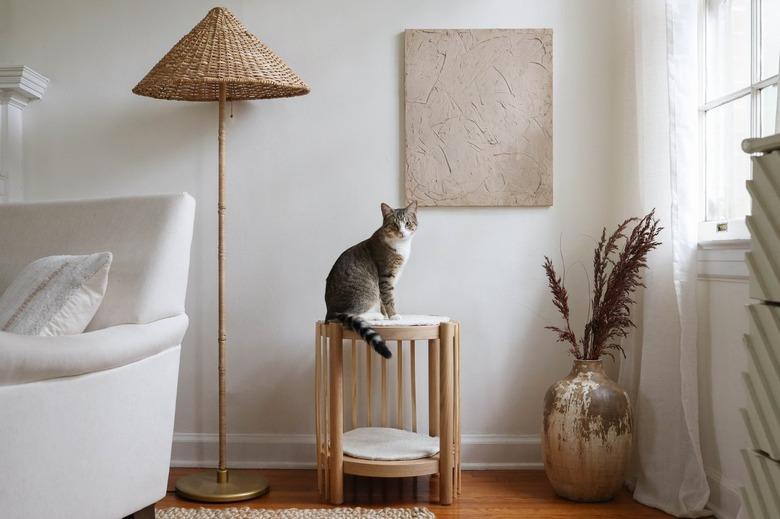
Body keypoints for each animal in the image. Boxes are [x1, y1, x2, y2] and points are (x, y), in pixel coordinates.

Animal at [324, 201, 420, 360]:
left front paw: (387, 315)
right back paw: (376, 316)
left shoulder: (391, 278)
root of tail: (330, 311)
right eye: (394, 224)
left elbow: (383, 299)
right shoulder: (386, 275)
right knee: (353, 313)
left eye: (407, 223)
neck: (400, 246)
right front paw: (393, 315)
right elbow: (388, 297)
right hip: (367, 292)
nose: (402, 232)